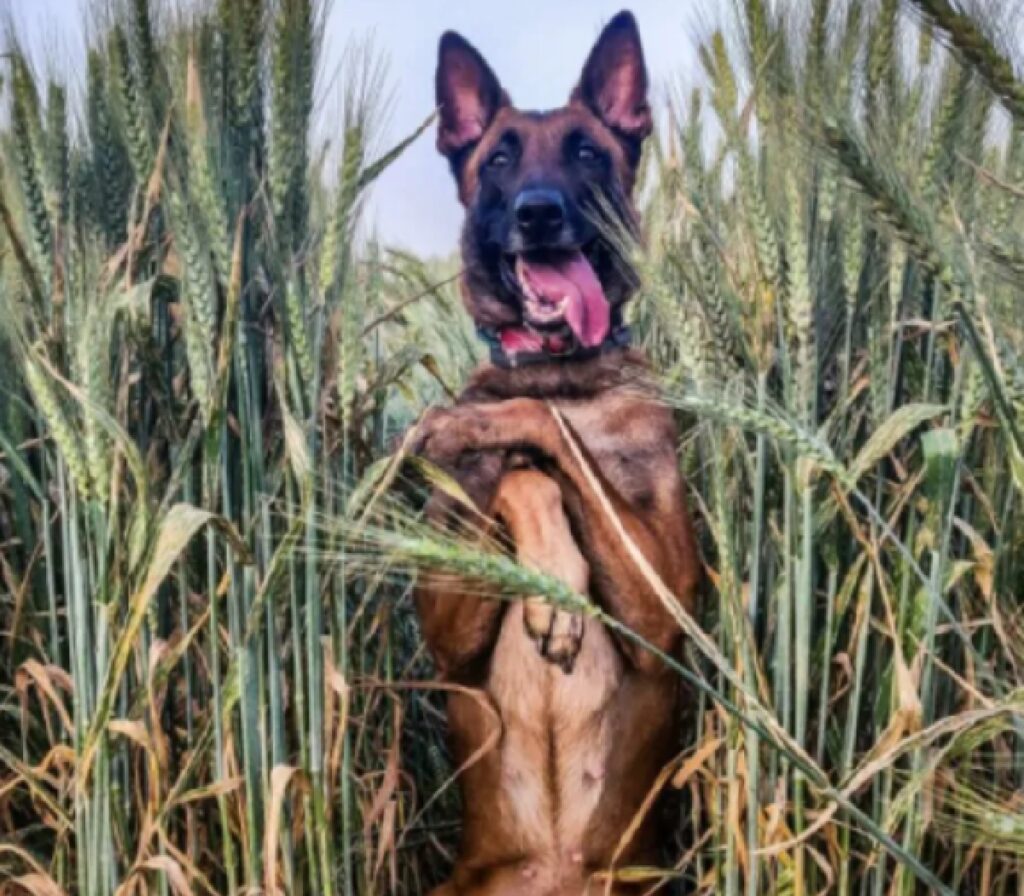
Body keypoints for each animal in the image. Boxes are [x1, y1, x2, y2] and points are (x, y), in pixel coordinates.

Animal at [411, 12, 700, 896]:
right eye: (500, 158)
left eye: (586, 152)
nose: (539, 213)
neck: (558, 367)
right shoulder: (447, 630)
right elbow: (523, 473)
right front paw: (553, 591)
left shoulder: (665, 599)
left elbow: (542, 427)